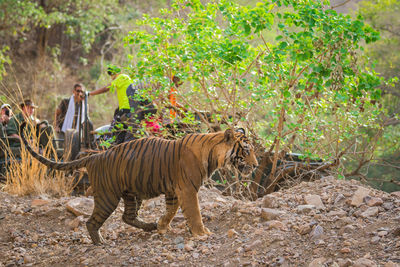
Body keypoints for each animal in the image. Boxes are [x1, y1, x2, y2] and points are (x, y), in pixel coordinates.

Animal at [21, 127, 260, 245]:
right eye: (247, 150)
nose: (257, 165)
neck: (212, 154)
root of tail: (95, 156)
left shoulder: (174, 191)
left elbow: (171, 211)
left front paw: (162, 226)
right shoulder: (187, 189)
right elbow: (194, 212)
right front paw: (202, 233)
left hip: (131, 195)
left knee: (128, 217)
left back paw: (150, 226)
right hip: (108, 197)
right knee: (92, 221)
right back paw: (100, 242)